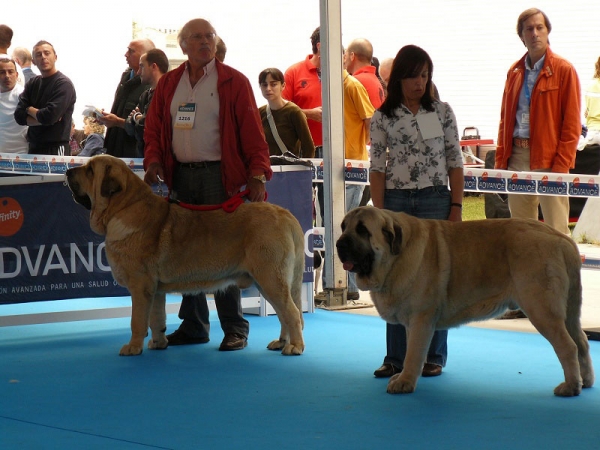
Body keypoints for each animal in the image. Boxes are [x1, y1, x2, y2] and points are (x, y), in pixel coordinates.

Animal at [65, 156, 304, 356]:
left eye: (90, 170)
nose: (67, 171)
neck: (124, 207)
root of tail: (286, 214)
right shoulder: (155, 290)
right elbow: (156, 318)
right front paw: (159, 343)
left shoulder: (140, 286)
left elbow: (137, 321)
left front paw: (133, 347)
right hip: (266, 282)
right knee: (283, 313)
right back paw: (281, 342)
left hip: (271, 279)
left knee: (292, 313)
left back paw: (294, 346)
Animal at [336, 206, 592, 396]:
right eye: (343, 227)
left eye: (363, 230)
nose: (338, 244)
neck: (396, 254)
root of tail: (561, 239)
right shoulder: (413, 322)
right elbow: (412, 352)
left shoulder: (420, 319)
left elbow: (413, 354)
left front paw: (405, 381)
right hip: (569, 312)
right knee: (581, 342)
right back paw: (586, 381)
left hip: (542, 310)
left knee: (568, 346)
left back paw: (571, 387)